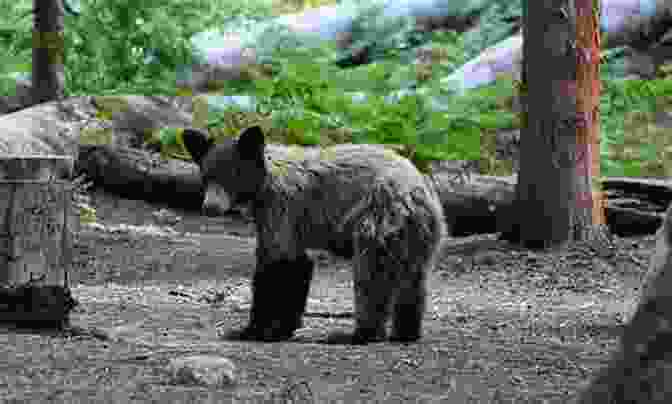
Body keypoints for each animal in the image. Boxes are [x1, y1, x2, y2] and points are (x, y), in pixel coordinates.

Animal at [184, 125, 446, 344]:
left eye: (230, 175)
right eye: (206, 176)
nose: (210, 207)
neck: (263, 182)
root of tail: (419, 191)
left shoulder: (281, 206)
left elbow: (278, 263)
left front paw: (251, 330)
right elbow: (298, 265)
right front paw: (281, 329)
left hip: (378, 219)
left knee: (371, 276)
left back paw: (357, 334)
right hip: (419, 235)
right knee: (413, 282)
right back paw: (406, 332)